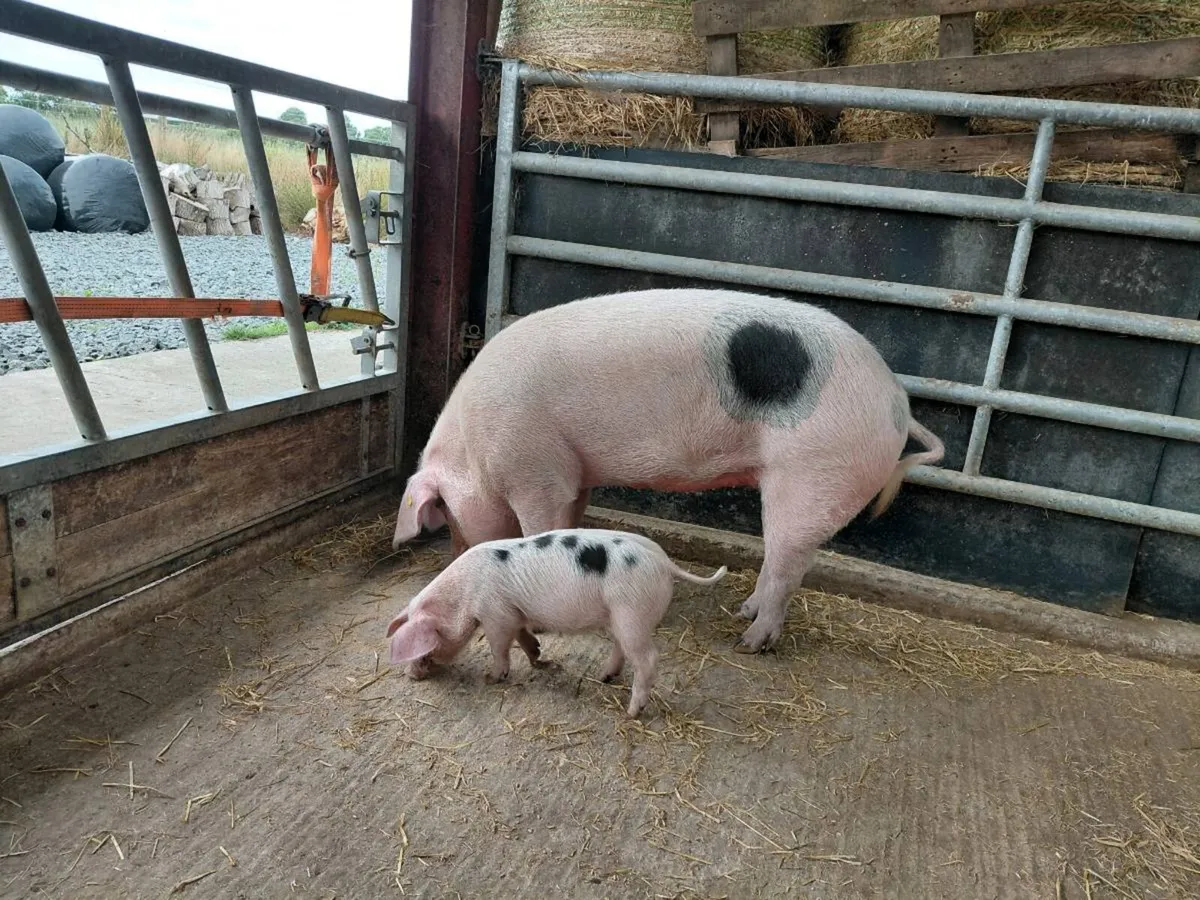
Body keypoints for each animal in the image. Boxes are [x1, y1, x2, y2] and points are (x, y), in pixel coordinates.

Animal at [385, 528, 727, 717]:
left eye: (424, 649)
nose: (411, 676)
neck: (464, 596)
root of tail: (665, 562)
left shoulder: (496, 614)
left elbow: (500, 647)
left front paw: (491, 678)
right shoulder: (515, 614)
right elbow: (523, 637)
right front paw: (538, 656)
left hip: (632, 612)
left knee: (648, 659)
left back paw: (631, 713)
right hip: (621, 616)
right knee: (622, 648)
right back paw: (605, 677)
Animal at [392, 288, 944, 654]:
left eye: (446, 512)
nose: (453, 554)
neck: (472, 447)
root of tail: (897, 402)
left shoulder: (534, 472)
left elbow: (540, 528)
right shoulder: (573, 472)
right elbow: (571, 519)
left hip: (815, 471)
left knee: (789, 563)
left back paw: (749, 641)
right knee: (782, 560)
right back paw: (744, 613)